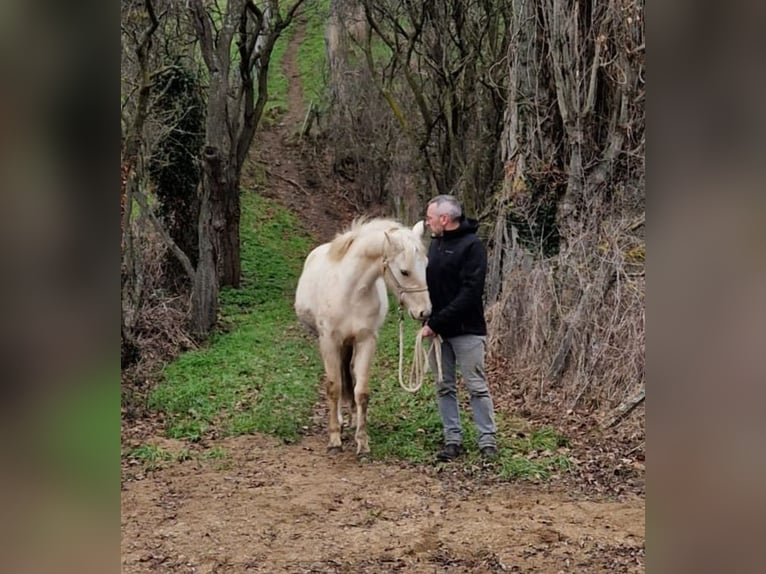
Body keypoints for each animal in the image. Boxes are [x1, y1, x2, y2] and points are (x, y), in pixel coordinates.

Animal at [296, 219, 432, 460]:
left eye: (425, 265)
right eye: (404, 271)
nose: (425, 312)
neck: (350, 291)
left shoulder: (366, 341)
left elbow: (361, 392)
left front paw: (363, 443)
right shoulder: (329, 341)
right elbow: (333, 387)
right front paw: (334, 440)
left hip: (349, 344)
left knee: (348, 374)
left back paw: (350, 419)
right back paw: (340, 422)